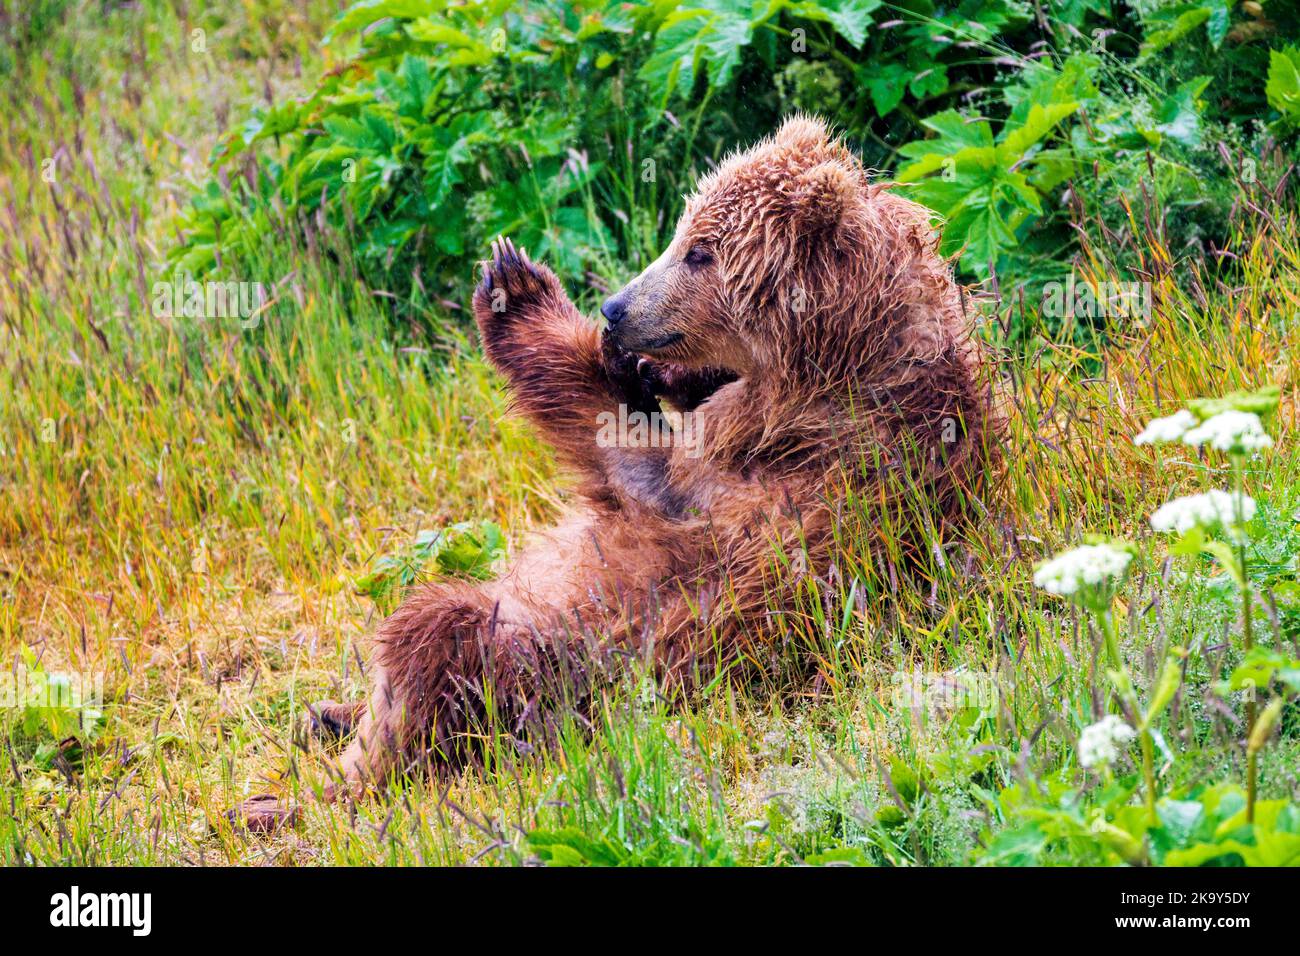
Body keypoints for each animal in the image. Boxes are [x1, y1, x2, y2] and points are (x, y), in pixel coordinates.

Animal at [239, 115, 998, 827]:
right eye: (684, 227)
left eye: (700, 251)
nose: (615, 309)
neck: (821, 363)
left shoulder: (773, 478)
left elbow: (627, 456)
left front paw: (516, 288)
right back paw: (326, 713)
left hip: (546, 671)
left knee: (435, 640)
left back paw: (298, 793)